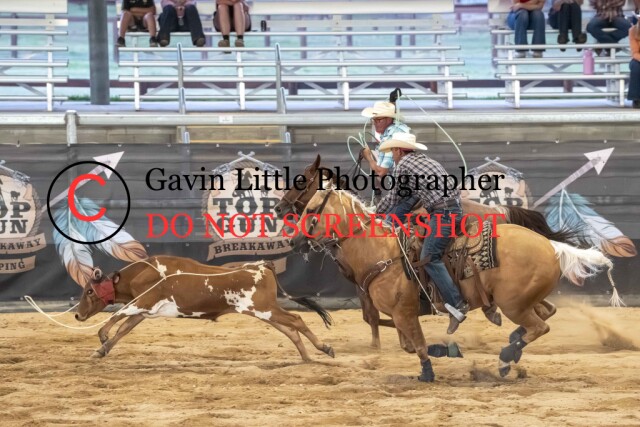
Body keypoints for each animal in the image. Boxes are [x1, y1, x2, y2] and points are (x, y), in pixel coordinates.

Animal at [274, 154, 578, 350]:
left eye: (302, 182)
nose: (278, 208)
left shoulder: (361, 284)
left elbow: (373, 317)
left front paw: (378, 345)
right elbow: (375, 317)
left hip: (512, 298)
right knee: (546, 310)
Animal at [288, 189, 616, 381]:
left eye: (313, 209)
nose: (294, 240)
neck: (380, 251)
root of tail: (550, 245)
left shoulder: (403, 312)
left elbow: (418, 347)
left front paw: (428, 374)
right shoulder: (401, 315)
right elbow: (409, 345)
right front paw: (448, 351)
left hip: (513, 304)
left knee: (539, 326)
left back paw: (506, 358)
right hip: (525, 299)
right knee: (545, 314)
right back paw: (512, 346)